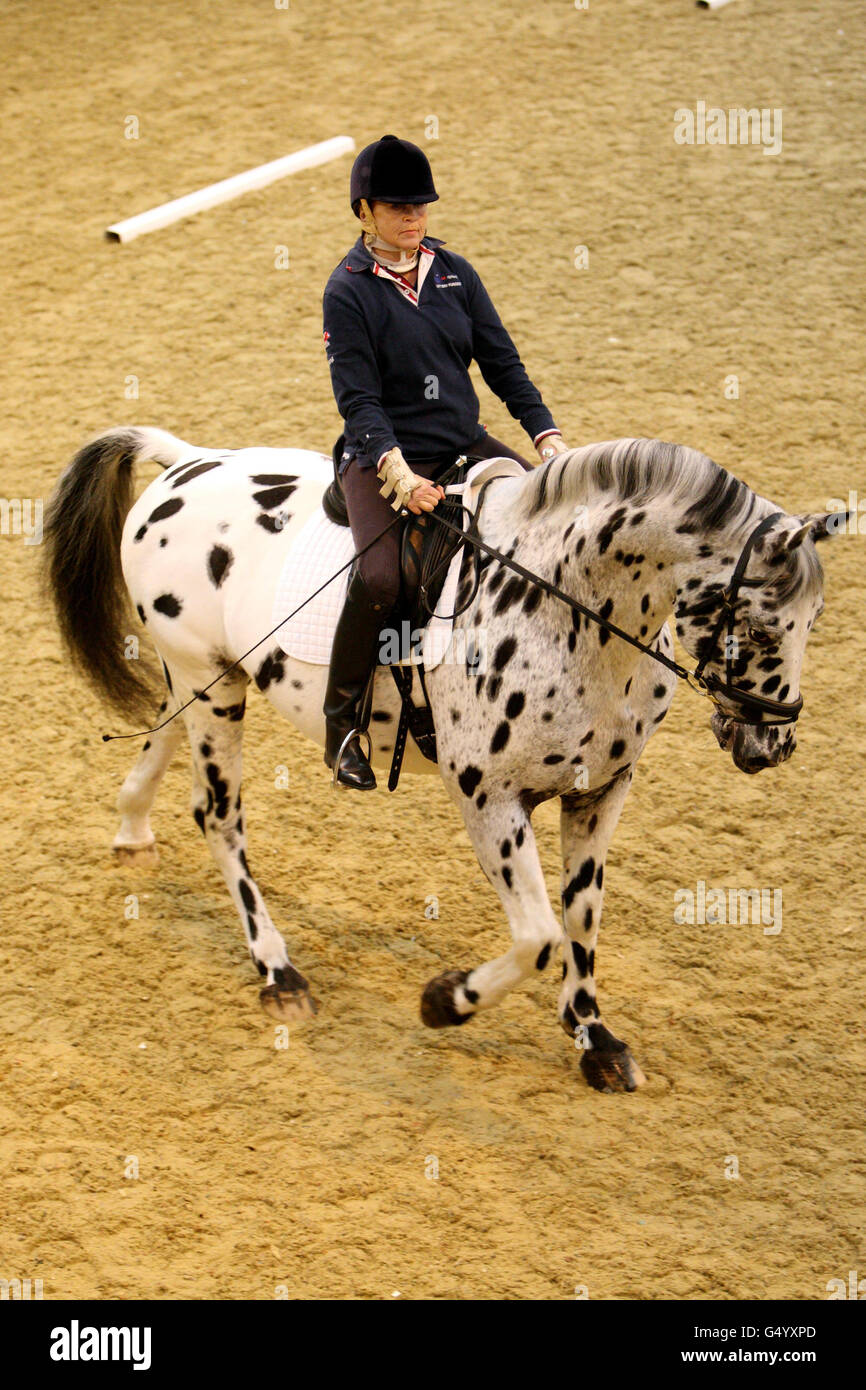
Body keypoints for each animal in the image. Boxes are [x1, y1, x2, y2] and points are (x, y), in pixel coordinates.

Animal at [43, 428, 839, 1091]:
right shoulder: (488, 796)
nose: (772, 745)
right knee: (219, 816)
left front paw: (594, 1039)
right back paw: (278, 971)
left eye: (815, 621)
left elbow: (583, 918)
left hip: (203, 677)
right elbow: (540, 937)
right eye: (762, 627)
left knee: (162, 735)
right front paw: (444, 1001)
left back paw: (132, 832)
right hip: (213, 690)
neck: (569, 610)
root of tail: (187, 462)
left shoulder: (602, 788)